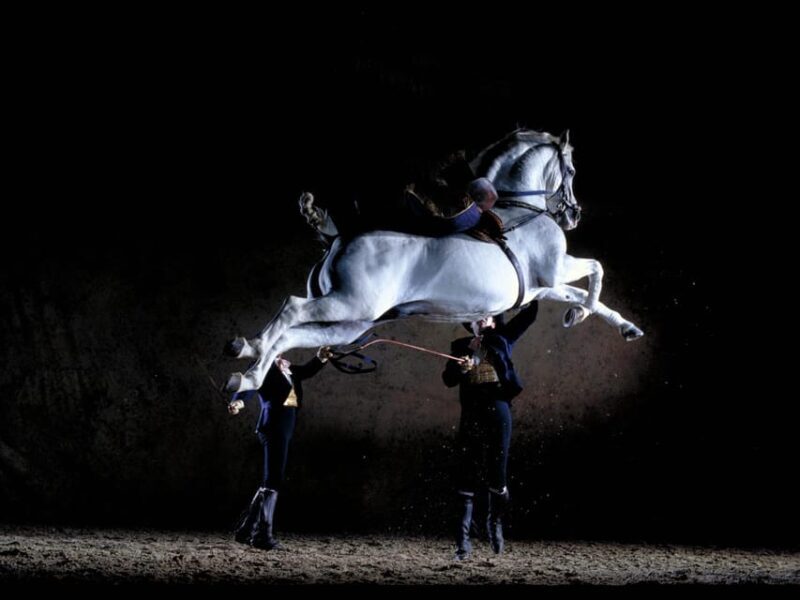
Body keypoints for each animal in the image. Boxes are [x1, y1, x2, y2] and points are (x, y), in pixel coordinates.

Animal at [224, 129, 643, 393]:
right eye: (570, 170)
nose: (574, 215)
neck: (519, 208)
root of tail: (337, 238)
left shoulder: (541, 287)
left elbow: (584, 293)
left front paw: (619, 325)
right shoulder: (556, 270)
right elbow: (596, 270)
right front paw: (580, 314)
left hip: (349, 325)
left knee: (292, 335)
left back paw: (246, 374)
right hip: (349, 304)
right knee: (291, 309)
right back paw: (249, 350)